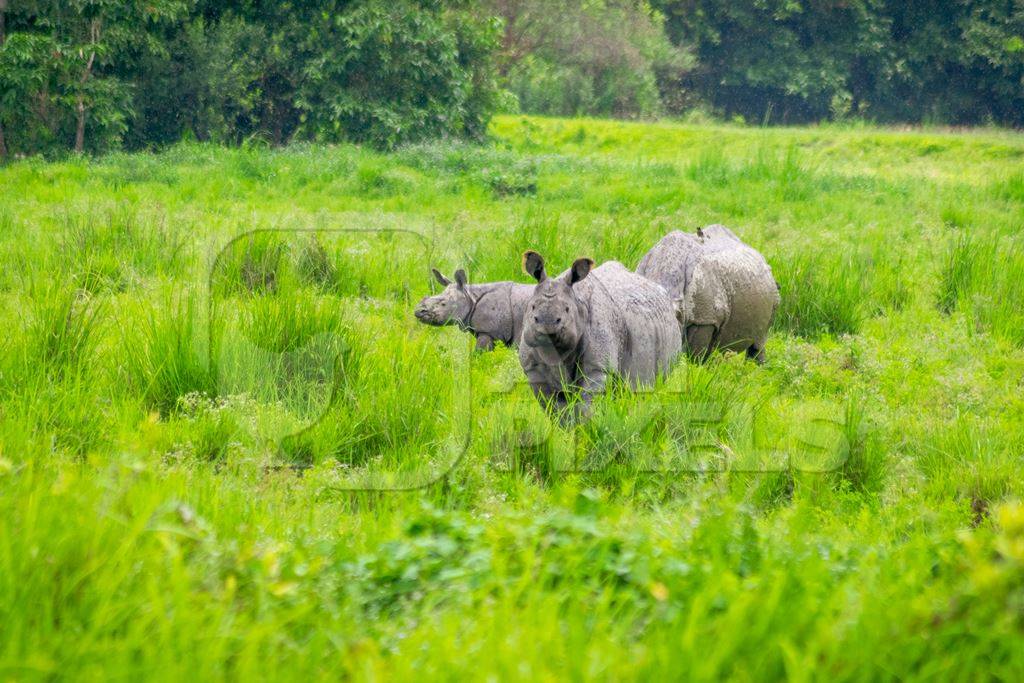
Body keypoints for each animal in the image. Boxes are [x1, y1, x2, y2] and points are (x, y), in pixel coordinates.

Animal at [520, 252, 679, 421]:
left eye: (567, 309)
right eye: (532, 307)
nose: (547, 324)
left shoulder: (598, 367)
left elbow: (586, 405)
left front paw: (586, 426)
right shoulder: (534, 370)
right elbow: (555, 408)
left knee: (638, 391)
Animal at [634, 225, 778, 366]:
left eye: (678, 314)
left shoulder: (704, 319)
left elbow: (695, 355)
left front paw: (695, 369)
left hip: (772, 289)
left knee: (760, 339)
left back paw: (756, 368)